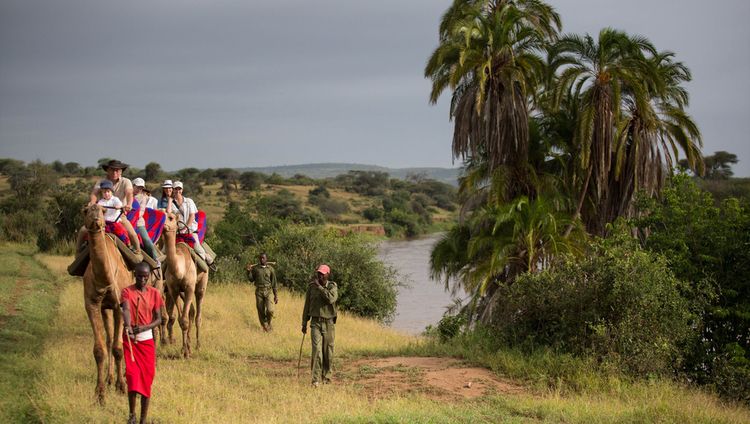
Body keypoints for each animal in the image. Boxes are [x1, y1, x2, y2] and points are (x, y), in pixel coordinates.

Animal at [82, 205, 134, 404]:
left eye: (103, 211)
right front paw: (100, 393)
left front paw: (122, 387)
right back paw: (109, 378)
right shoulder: (93, 305)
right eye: (85, 210)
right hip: (106, 308)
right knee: (110, 338)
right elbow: (99, 349)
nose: (96, 219)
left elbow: (119, 349)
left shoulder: (120, 305)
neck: (104, 281)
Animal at [162, 212, 209, 358]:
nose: (163, 225)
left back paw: (198, 345)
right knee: (191, 312)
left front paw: (187, 352)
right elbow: (181, 320)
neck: (179, 269)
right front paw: (184, 349)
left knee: (198, 314)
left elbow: (184, 319)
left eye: (171, 217)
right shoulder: (174, 290)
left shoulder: (189, 288)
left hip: (201, 284)